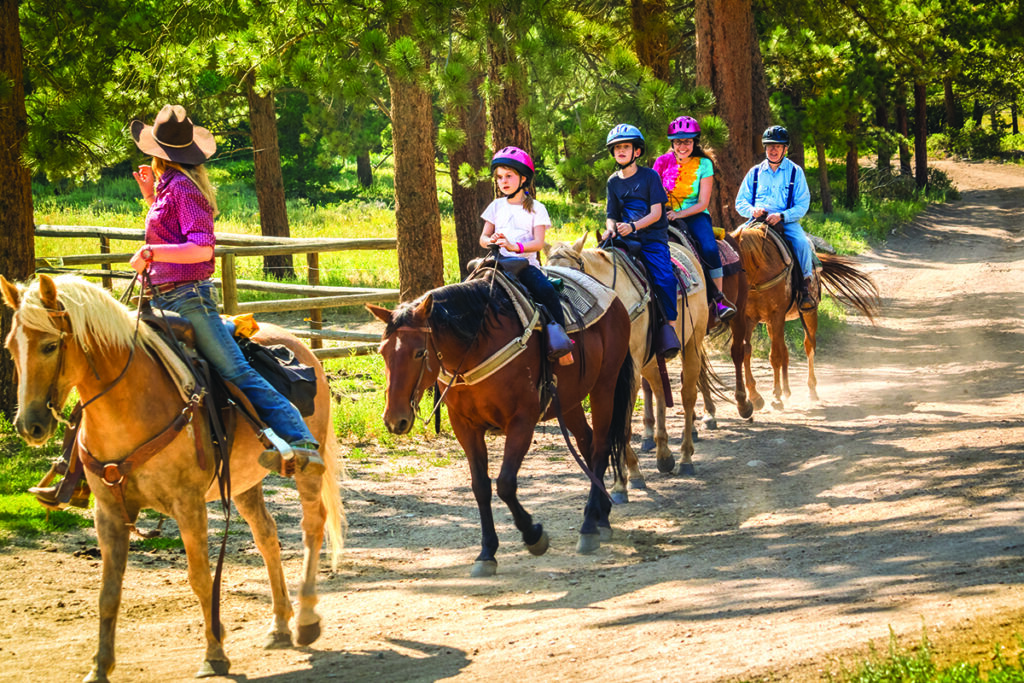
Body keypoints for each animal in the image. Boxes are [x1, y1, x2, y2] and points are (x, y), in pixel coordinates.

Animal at [1, 274, 344, 683]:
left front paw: (214, 654)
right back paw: (279, 625)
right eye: (11, 347)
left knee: (312, 527)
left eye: (50, 345)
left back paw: (306, 619)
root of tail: (303, 348)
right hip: (244, 483)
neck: (130, 406)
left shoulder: (189, 505)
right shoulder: (108, 513)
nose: (29, 425)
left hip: (307, 469)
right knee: (266, 535)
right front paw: (99, 667)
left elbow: (200, 578)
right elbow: (108, 591)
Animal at [368, 272, 634, 577]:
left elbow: (505, 483)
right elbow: (481, 487)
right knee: (587, 443)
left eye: (419, 353)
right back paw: (602, 516)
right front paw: (486, 554)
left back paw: (590, 526)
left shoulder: (522, 420)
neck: (475, 347)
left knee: (601, 446)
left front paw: (534, 536)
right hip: (569, 400)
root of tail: (611, 297)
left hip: (605, 386)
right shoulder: (465, 427)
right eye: (383, 352)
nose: (394, 419)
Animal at [548, 235, 708, 501]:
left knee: (687, 396)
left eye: (569, 281)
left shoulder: (627, 372)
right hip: (651, 360)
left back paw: (686, 457)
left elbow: (621, 424)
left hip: (692, 343)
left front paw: (626, 479)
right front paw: (625, 479)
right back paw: (664, 454)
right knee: (660, 390)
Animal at [729, 220, 880, 411]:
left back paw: (811, 391)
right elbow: (747, 351)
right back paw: (787, 391)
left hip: (808, 314)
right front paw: (755, 397)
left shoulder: (776, 315)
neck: (759, 275)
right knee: (785, 350)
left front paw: (776, 396)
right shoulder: (748, 318)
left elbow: (775, 356)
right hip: (773, 323)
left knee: (808, 347)